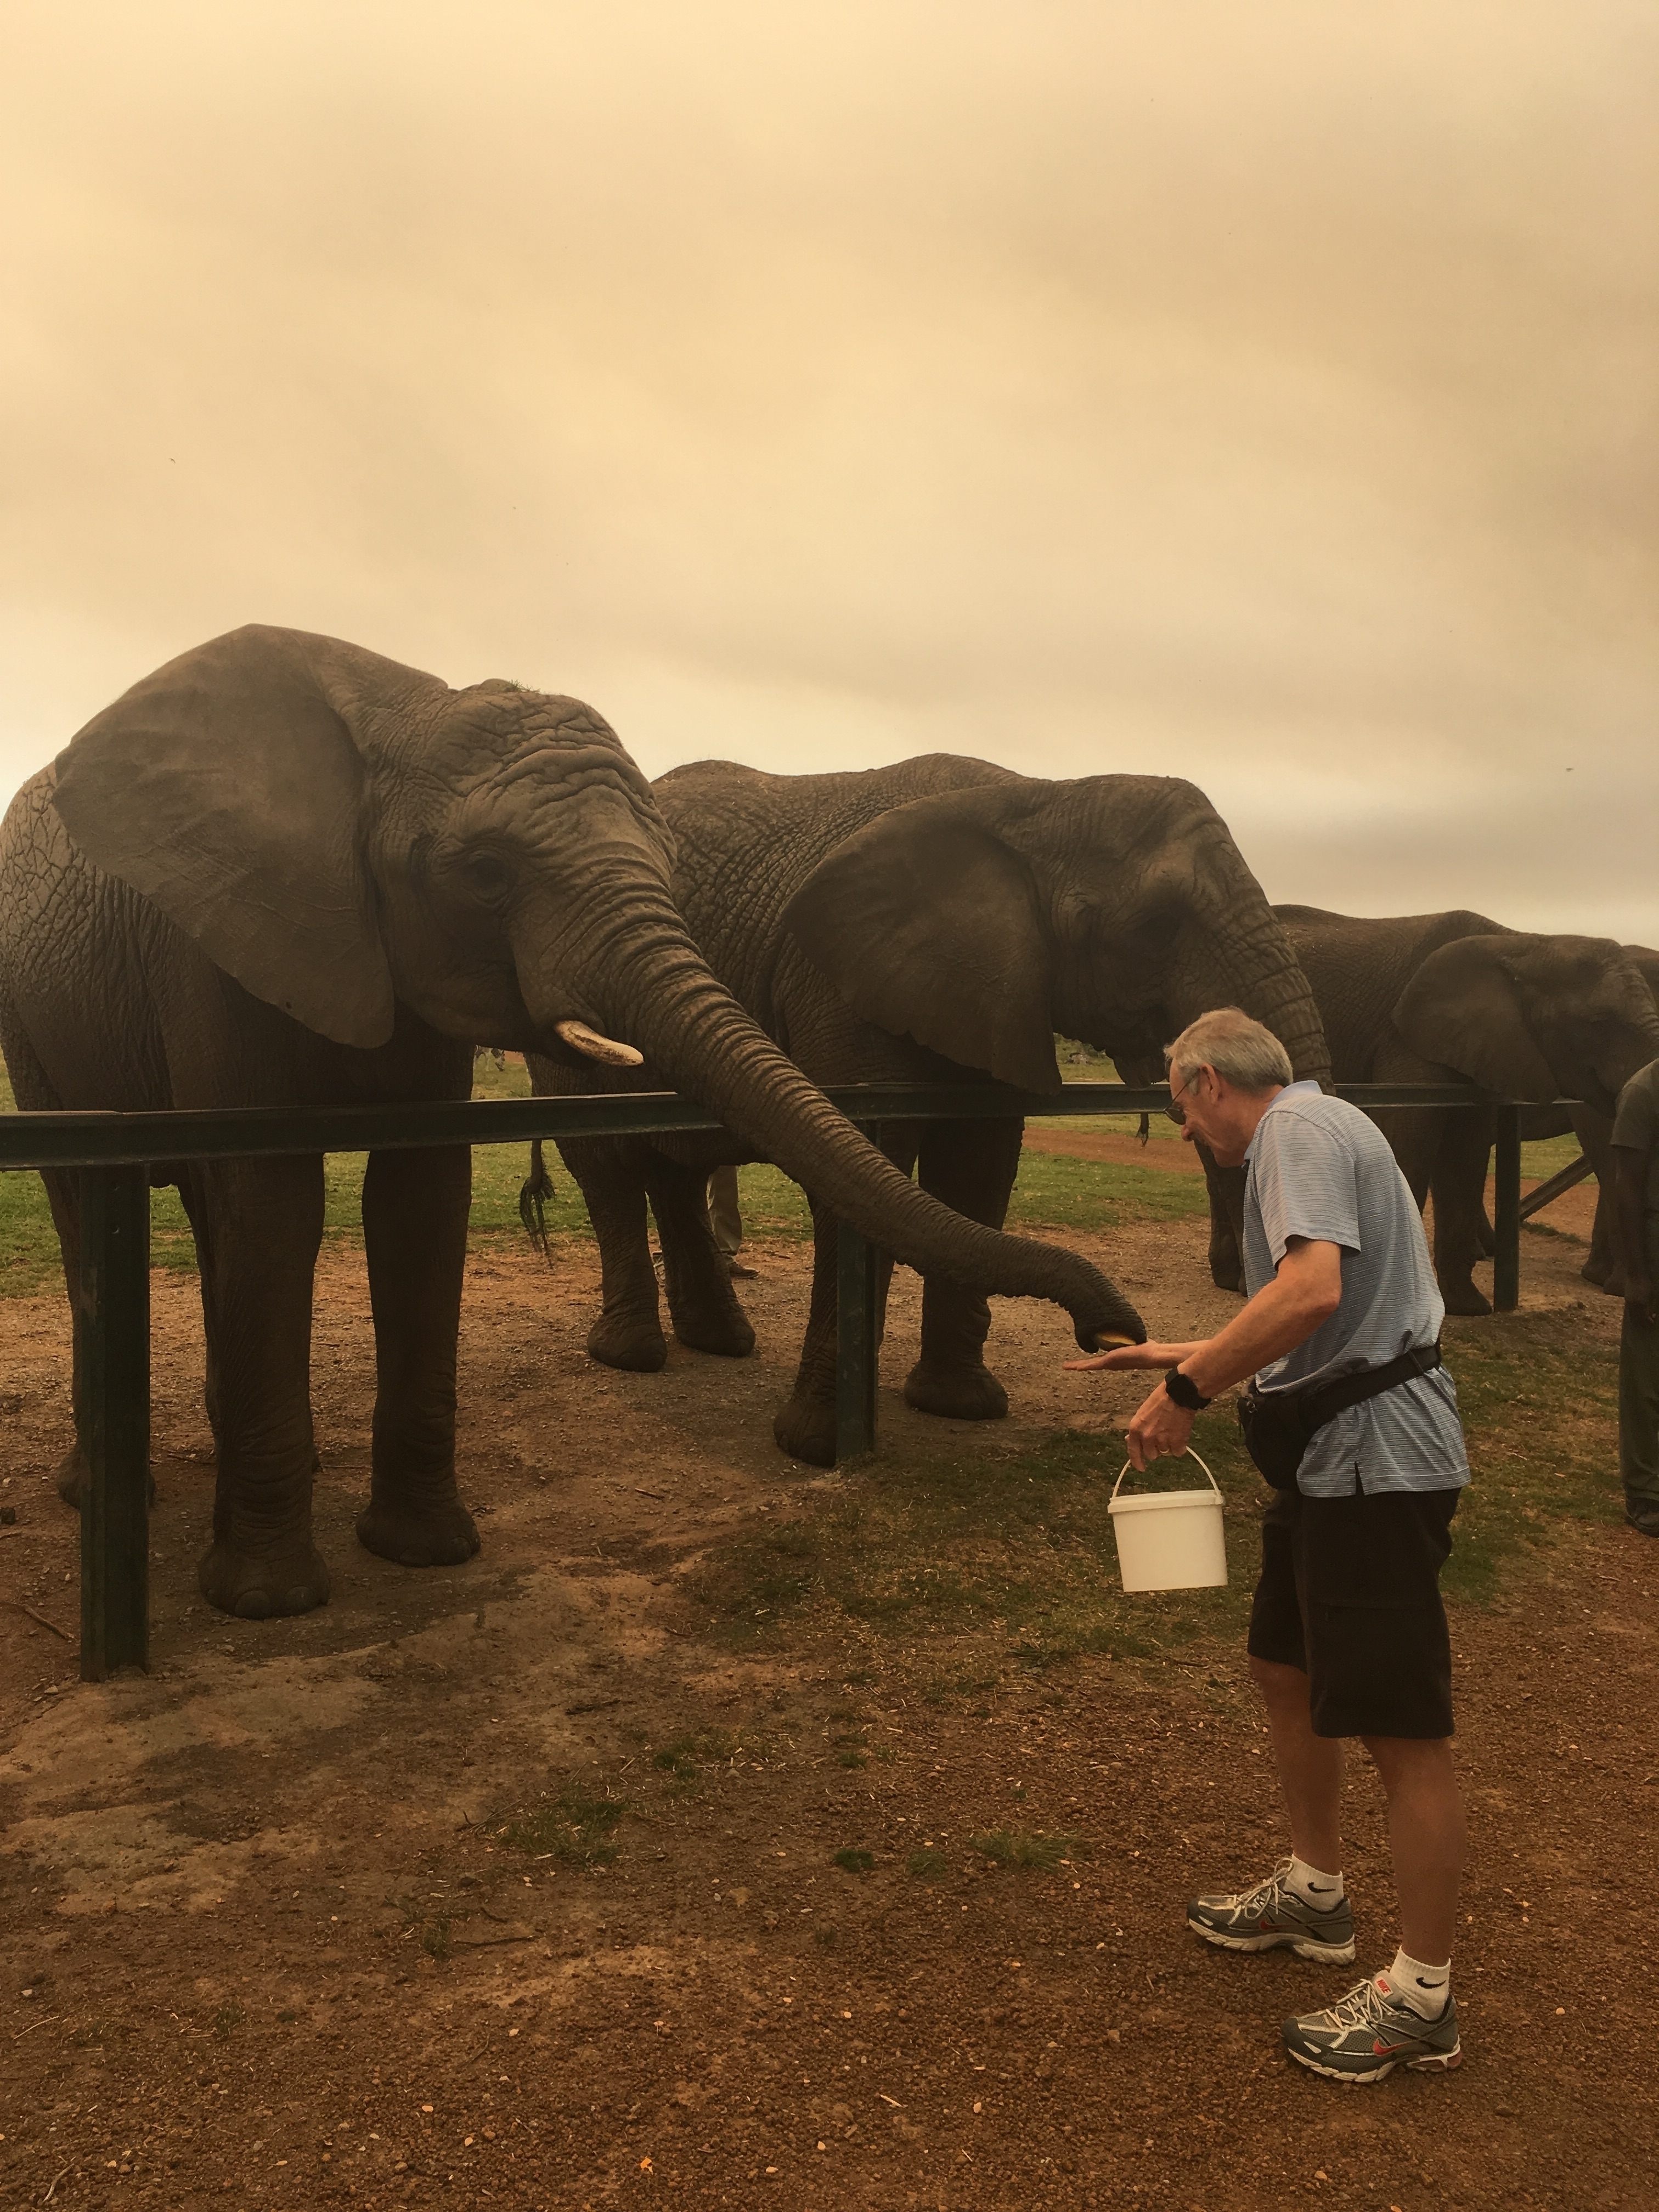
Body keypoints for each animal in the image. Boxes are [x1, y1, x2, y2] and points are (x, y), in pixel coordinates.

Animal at [0, 631, 1146, 1619]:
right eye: (484, 873)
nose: (1115, 1336)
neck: (407, 705)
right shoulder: (209, 942)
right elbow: (272, 1201)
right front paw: (269, 1603)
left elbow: (419, 1196)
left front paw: (427, 1552)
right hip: (36, 1036)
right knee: (95, 1197)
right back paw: (101, 1489)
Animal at [527, 754, 1330, 1466]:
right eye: (1158, 925)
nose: (1113, 1336)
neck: (1038, 795)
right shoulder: (838, 983)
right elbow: (866, 1171)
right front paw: (817, 1449)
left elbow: (977, 1173)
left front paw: (961, 1407)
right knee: (607, 1166)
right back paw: (632, 1357)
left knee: (676, 1167)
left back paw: (721, 1343)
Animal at [1199, 907, 1659, 1314]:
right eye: (1599, 1023)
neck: (1520, 942)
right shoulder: (1406, 1039)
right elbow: (1411, 1143)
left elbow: (1466, 1154)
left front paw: (1469, 1308)